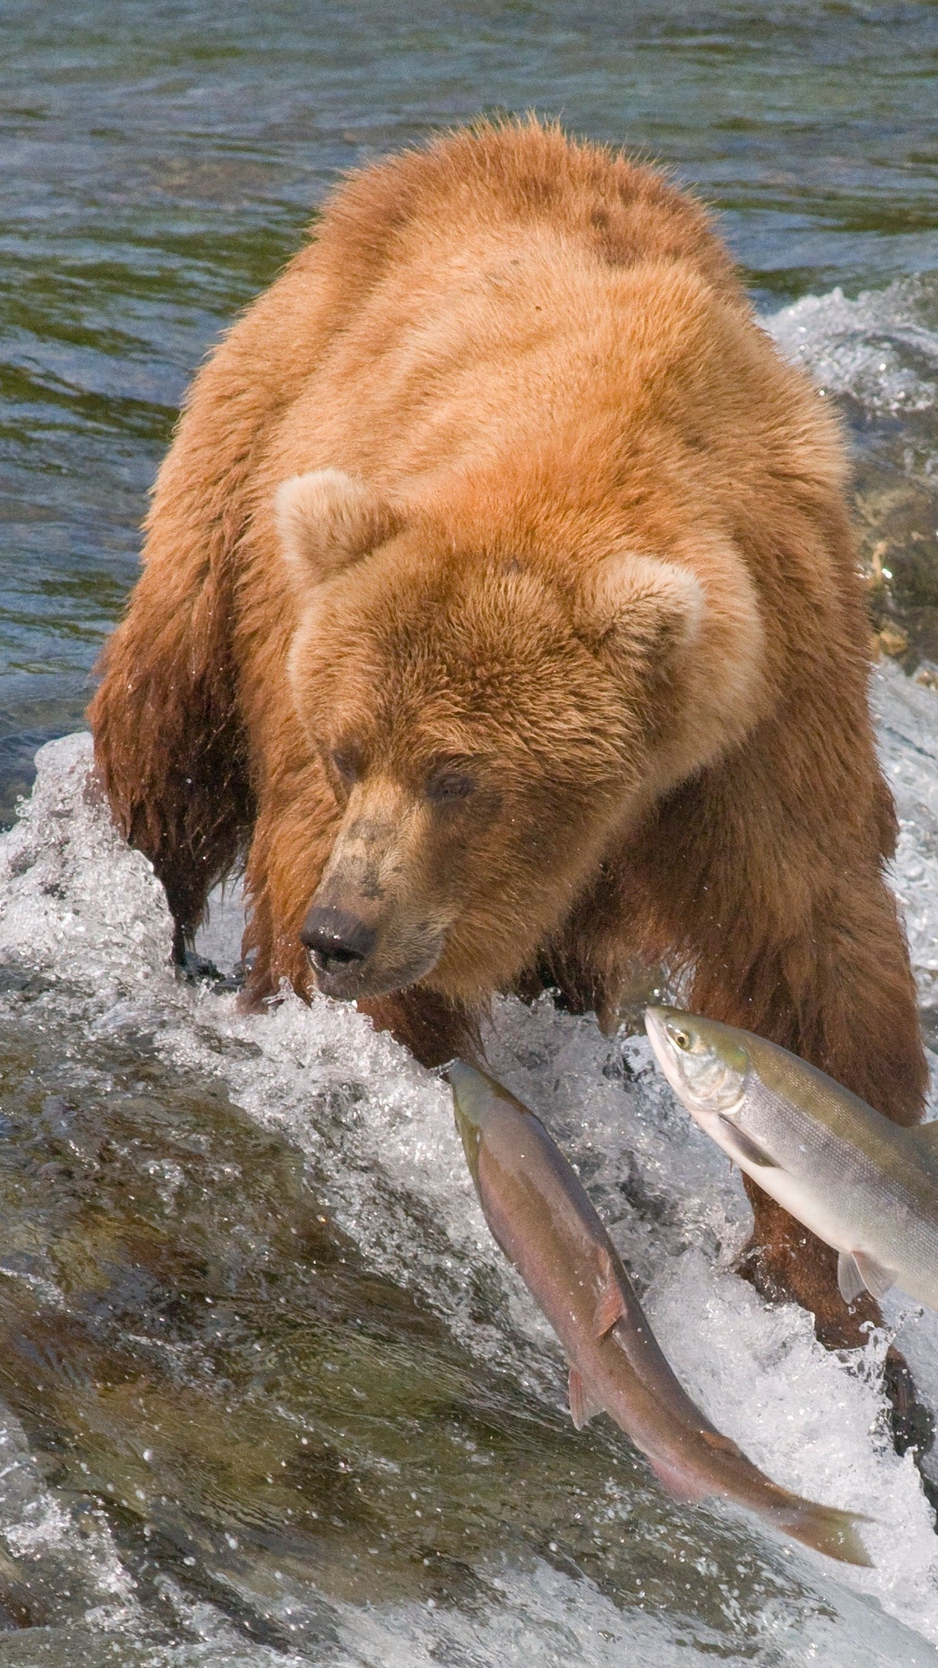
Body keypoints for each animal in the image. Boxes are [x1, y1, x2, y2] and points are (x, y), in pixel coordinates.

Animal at [89, 118, 926, 1363]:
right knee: (169, 727)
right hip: (244, 471)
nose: (342, 933)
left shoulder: (765, 708)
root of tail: (453, 148)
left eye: (458, 775)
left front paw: (817, 1275)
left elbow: (804, 954)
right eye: (346, 751)